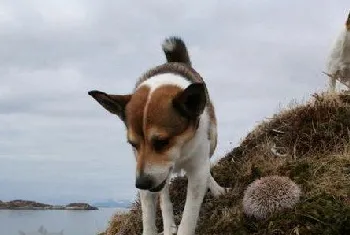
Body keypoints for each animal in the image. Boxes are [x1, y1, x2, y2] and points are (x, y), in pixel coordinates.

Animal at [89, 35, 228, 234]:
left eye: (162, 142)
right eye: (133, 144)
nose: (141, 183)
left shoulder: (196, 170)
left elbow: (189, 216)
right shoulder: (145, 171)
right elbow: (150, 213)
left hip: (212, 140)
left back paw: (215, 188)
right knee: (163, 195)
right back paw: (169, 224)